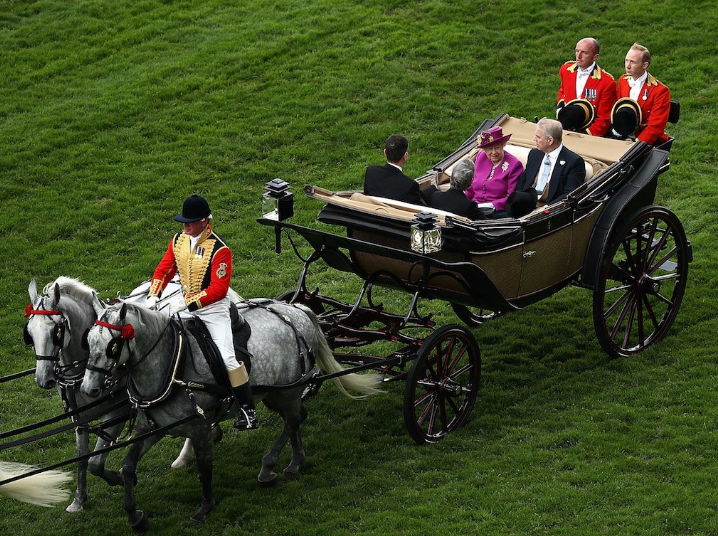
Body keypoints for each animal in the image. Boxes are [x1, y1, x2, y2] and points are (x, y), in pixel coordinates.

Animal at [82, 300, 386, 528]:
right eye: (88, 342)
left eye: (111, 346)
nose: (89, 388)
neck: (173, 364)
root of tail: (296, 310)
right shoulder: (152, 429)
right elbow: (128, 467)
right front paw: (134, 515)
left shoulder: (200, 428)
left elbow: (204, 470)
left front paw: (205, 508)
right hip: (277, 393)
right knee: (296, 418)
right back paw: (295, 461)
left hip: (287, 390)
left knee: (294, 419)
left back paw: (268, 467)